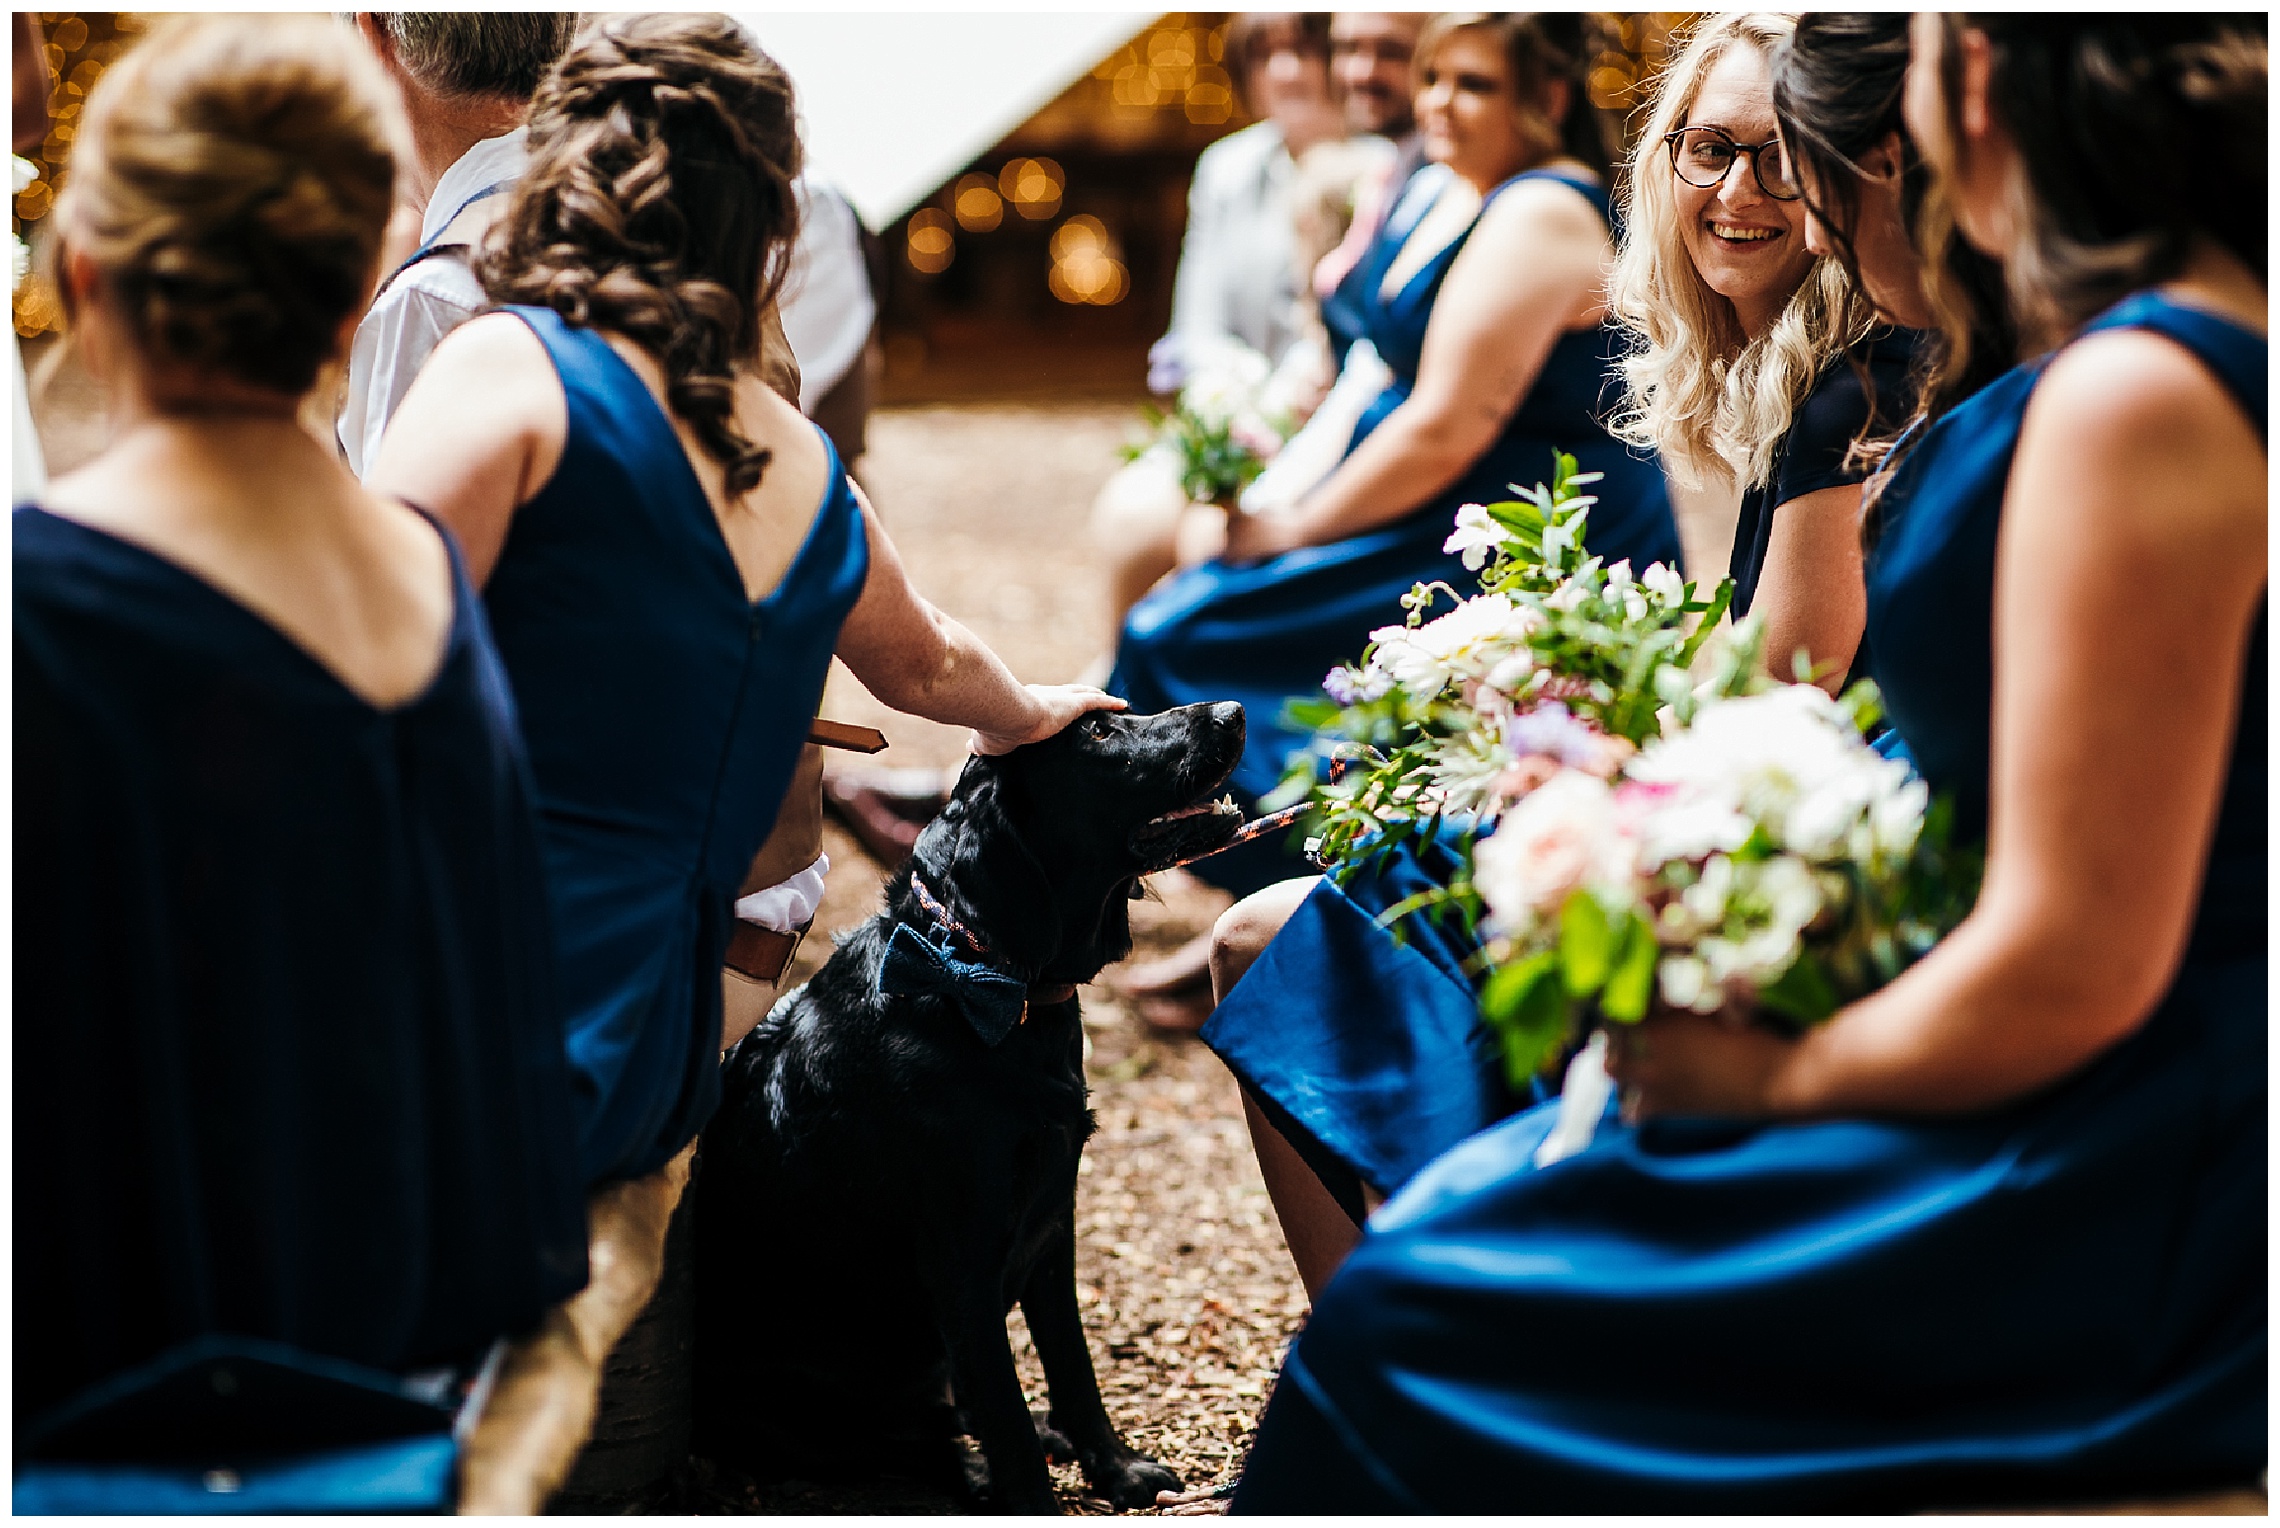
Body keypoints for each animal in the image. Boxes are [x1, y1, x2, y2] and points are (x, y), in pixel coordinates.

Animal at [693, 702, 1249, 1514]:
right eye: (1098, 735)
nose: (1232, 712)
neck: (978, 980)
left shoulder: (1052, 1226)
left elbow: (1072, 1364)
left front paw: (1114, 1469)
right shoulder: (961, 1267)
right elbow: (1006, 1415)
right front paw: (1035, 1486)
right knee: (912, 1447)